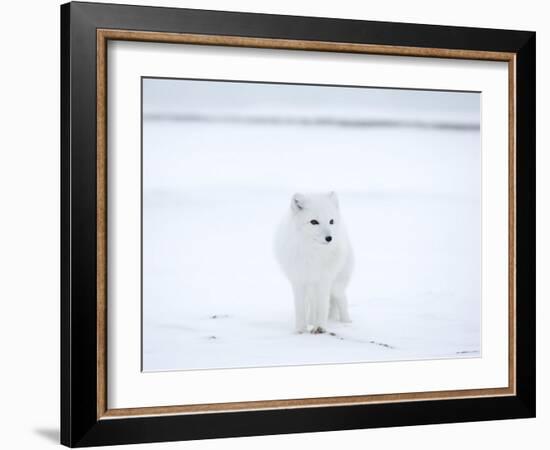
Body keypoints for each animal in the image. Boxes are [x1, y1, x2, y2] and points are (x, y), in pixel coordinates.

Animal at [274, 191, 354, 334]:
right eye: (314, 222)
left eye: (331, 221)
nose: (329, 238)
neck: (313, 253)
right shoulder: (298, 281)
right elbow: (300, 308)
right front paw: (300, 330)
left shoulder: (324, 281)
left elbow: (322, 306)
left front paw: (320, 327)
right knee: (312, 304)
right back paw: (311, 321)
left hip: (336, 286)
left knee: (342, 299)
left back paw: (346, 322)